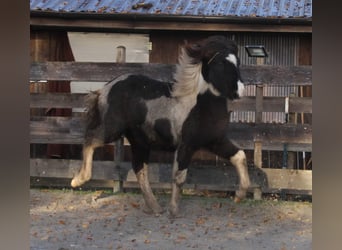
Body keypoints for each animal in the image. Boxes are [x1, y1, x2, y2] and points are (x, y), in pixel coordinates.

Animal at [70, 35, 251, 217]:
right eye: (220, 63)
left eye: (238, 62)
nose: (240, 91)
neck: (198, 104)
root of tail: (106, 88)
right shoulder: (186, 145)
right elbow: (179, 177)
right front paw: (173, 210)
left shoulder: (215, 141)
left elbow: (240, 156)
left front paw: (239, 195)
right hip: (112, 129)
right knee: (90, 140)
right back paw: (78, 180)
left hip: (139, 142)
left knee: (139, 169)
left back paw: (155, 207)